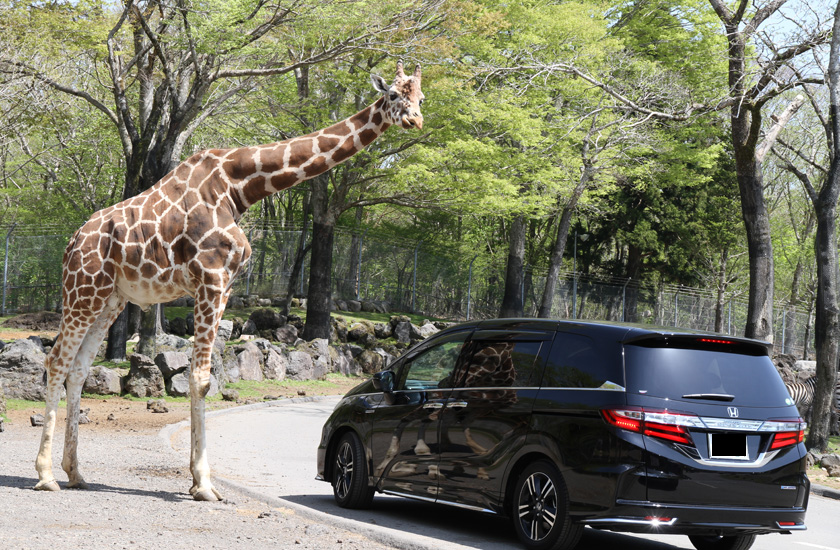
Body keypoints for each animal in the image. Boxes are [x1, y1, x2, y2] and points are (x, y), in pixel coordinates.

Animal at [35, 59, 424, 500]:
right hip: (82, 290)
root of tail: (71, 242)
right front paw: (204, 484)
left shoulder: (225, 284)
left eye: (421, 97)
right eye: (393, 94)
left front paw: (195, 480)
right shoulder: (212, 278)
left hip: (110, 297)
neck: (241, 186)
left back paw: (75, 472)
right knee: (56, 360)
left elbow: (202, 378)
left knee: (78, 369)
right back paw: (46, 475)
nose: (415, 119)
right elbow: (201, 379)